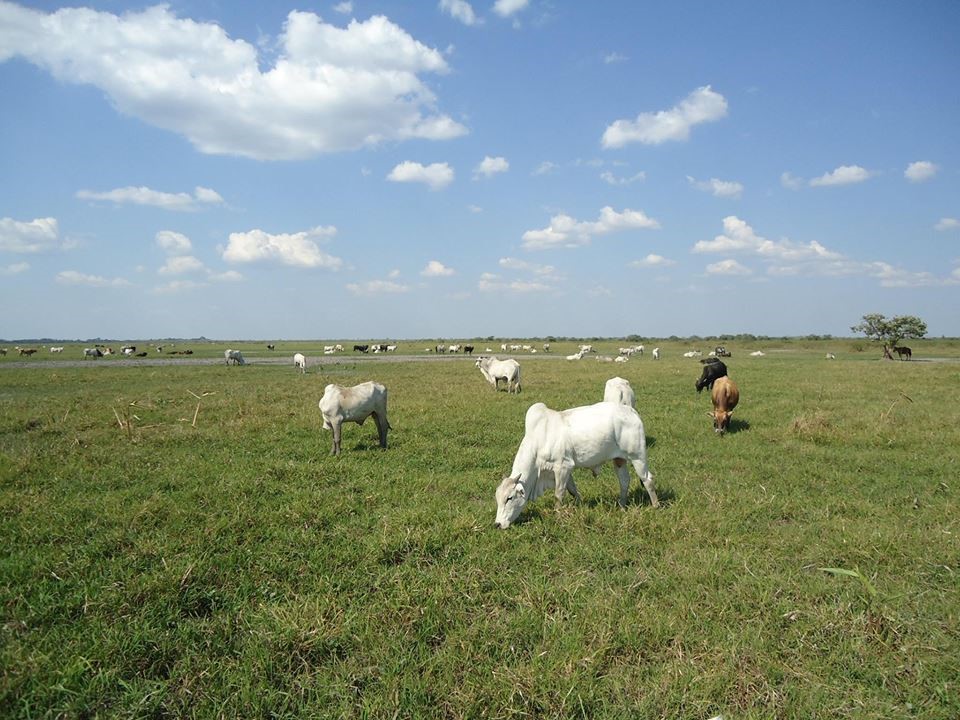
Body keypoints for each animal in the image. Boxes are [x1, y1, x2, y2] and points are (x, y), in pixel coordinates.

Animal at [496, 400, 660, 528]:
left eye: (509, 498)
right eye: (497, 499)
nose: (497, 524)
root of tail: (630, 410)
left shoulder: (563, 466)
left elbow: (559, 493)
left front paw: (557, 515)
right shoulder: (565, 470)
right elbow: (573, 490)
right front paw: (580, 505)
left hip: (638, 457)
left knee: (648, 480)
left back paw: (655, 506)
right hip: (619, 459)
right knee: (624, 481)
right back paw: (621, 506)